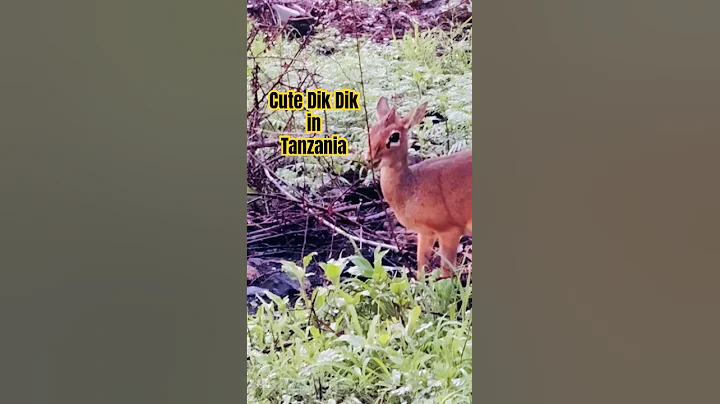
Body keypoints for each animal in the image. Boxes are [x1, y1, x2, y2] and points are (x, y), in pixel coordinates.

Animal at [365, 97, 472, 279]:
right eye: (372, 130)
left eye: (394, 136)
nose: (370, 159)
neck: (412, 187)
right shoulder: (424, 232)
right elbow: (421, 265)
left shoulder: (449, 231)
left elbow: (446, 272)